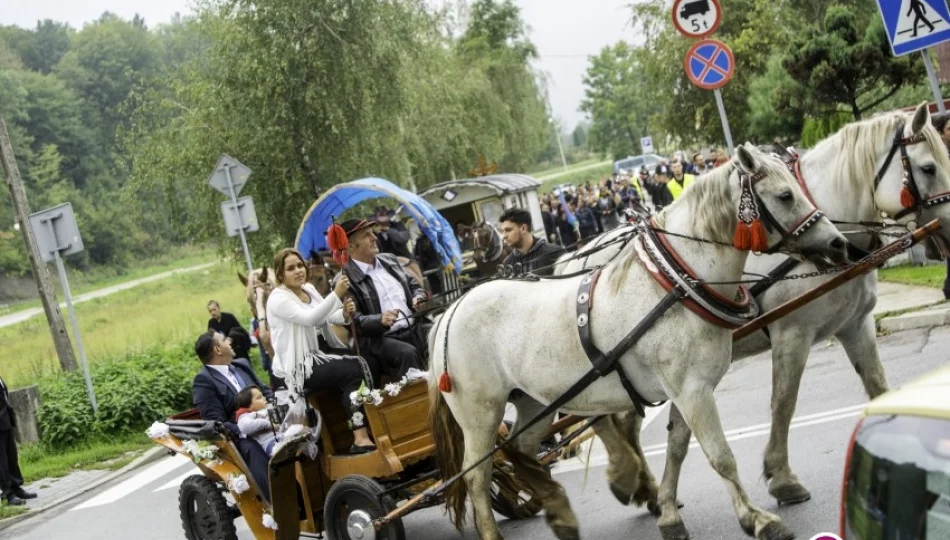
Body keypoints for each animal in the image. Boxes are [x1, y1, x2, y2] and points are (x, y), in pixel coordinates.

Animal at [430, 143, 848, 540]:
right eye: (784, 195)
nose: (838, 244)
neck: (673, 285)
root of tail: (448, 314)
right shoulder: (693, 391)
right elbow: (720, 455)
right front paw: (758, 520)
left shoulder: (687, 390)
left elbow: (678, 446)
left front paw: (669, 513)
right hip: (481, 415)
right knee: (477, 475)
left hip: (535, 402)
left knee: (523, 451)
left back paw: (564, 511)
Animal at [560, 103, 950, 536]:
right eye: (929, 167)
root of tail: (570, 258)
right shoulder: (791, 334)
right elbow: (783, 403)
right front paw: (782, 478)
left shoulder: (856, 326)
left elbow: (879, 387)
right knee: (601, 418)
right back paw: (629, 480)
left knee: (627, 422)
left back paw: (648, 490)